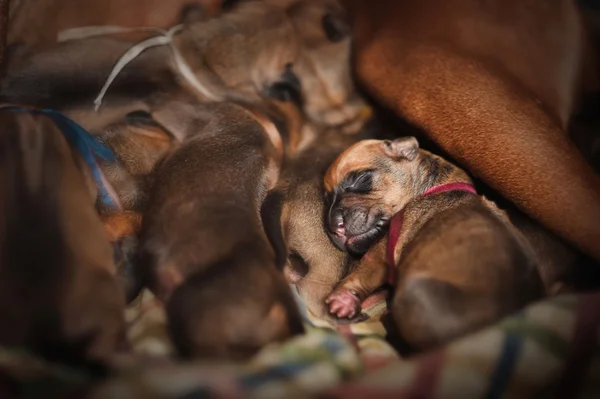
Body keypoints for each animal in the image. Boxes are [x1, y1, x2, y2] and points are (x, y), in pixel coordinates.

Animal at [324, 138, 544, 354]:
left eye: (361, 179)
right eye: (327, 199)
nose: (334, 226)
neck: (430, 186)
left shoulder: (380, 253)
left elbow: (362, 273)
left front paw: (342, 299)